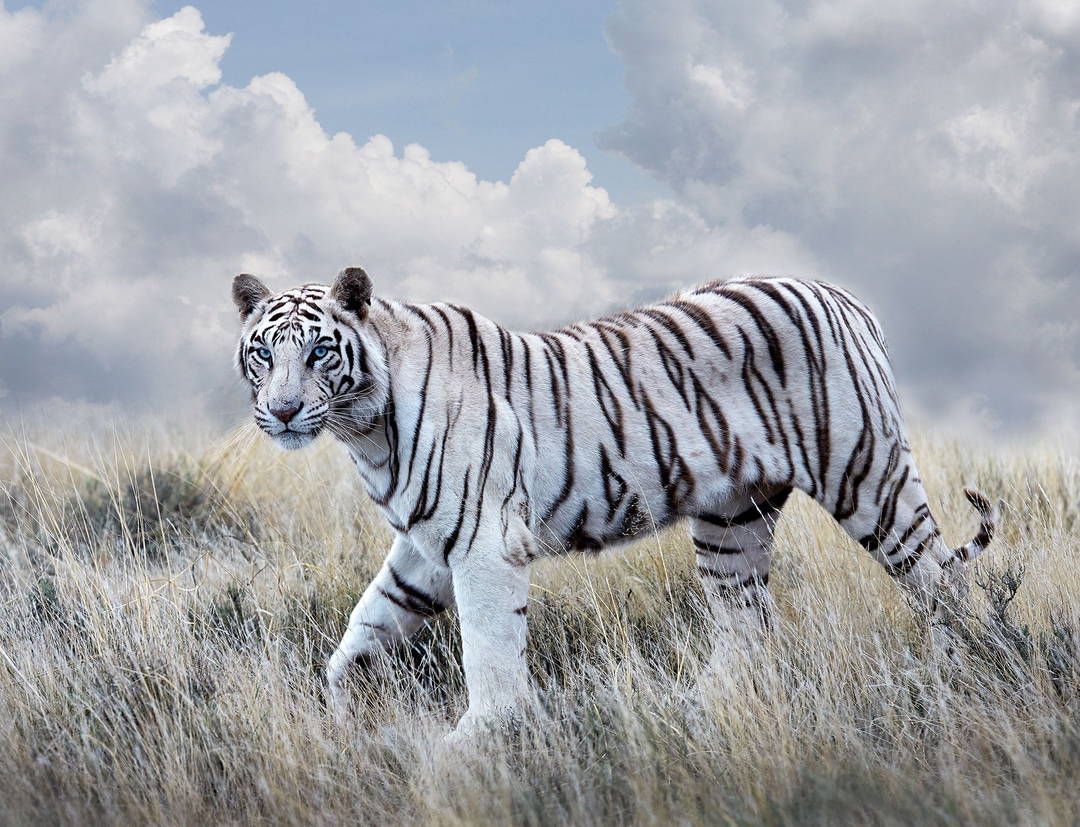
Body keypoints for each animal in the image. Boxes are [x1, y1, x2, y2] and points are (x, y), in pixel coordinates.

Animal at [231, 266, 998, 738]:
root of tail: (841, 294)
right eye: (264, 353)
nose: (284, 411)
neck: (363, 430)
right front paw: (333, 715)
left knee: (942, 578)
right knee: (747, 626)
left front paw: (475, 741)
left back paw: (953, 678)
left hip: (865, 475)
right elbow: (364, 628)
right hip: (731, 521)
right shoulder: (426, 547)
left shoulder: (484, 542)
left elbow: (489, 649)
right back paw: (703, 713)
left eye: (320, 352)